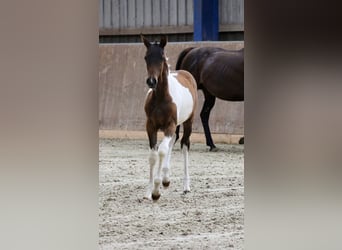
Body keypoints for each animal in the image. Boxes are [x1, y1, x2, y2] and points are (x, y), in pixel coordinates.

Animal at [140, 35, 198, 200]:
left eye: (161, 57)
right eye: (146, 57)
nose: (151, 81)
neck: (161, 98)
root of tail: (185, 73)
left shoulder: (169, 125)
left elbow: (162, 150)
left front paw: (156, 191)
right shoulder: (151, 126)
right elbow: (153, 155)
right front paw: (149, 191)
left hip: (187, 122)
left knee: (184, 144)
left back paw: (186, 187)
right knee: (173, 141)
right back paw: (166, 179)